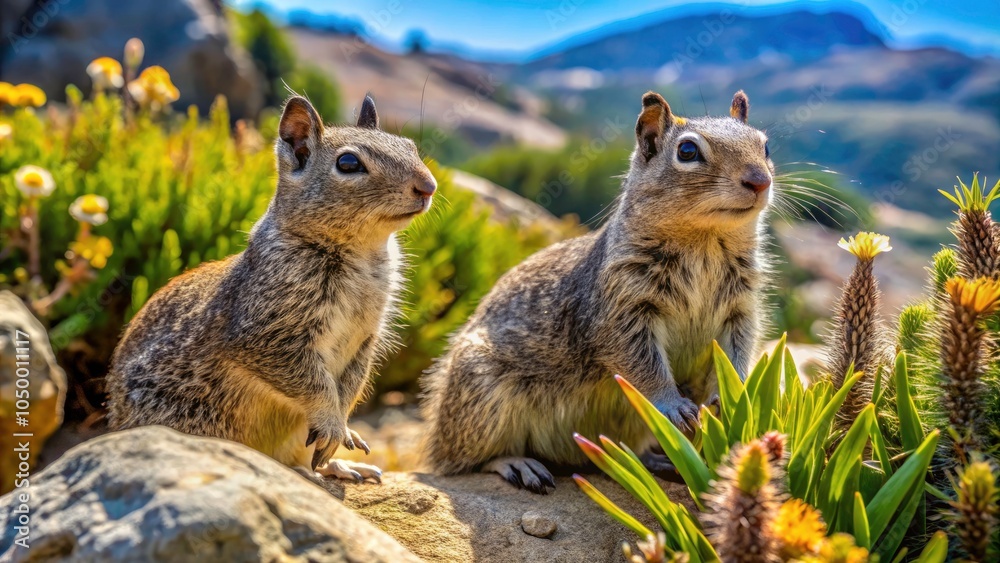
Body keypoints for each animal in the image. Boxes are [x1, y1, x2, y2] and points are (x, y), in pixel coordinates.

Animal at [106, 95, 436, 483]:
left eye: (410, 146)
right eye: (349, 163)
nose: (428, 186)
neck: (362, 255)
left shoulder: (366, 338)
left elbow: (352, 383)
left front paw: (344, 431)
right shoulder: (269, 334)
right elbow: (312, 384)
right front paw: (334, 425)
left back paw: (341, 467)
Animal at [421, 90, 772, 493]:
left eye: (765, 145)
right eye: (687, 151)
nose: (760, 181)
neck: (705, 243)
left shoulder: (741, 311)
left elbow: (737, 354)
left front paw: (735, 396)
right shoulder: (622, 311)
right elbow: (642, 365)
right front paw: (673, 403)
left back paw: (655, 460)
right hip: (481, 397)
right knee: (462, 461)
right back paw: (518, 464)